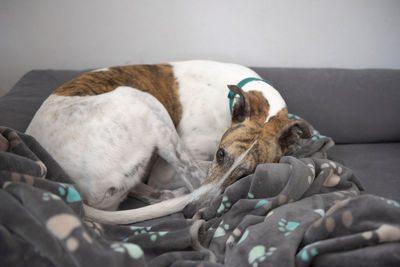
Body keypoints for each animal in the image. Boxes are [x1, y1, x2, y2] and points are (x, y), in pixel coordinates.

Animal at [25, 60, 312, 224]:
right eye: (220, 154)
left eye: (247, 175)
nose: (190, 212)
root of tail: (64, 182)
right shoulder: (167, 170)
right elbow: (199, 175)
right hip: (145, 104)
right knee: (189, 177)